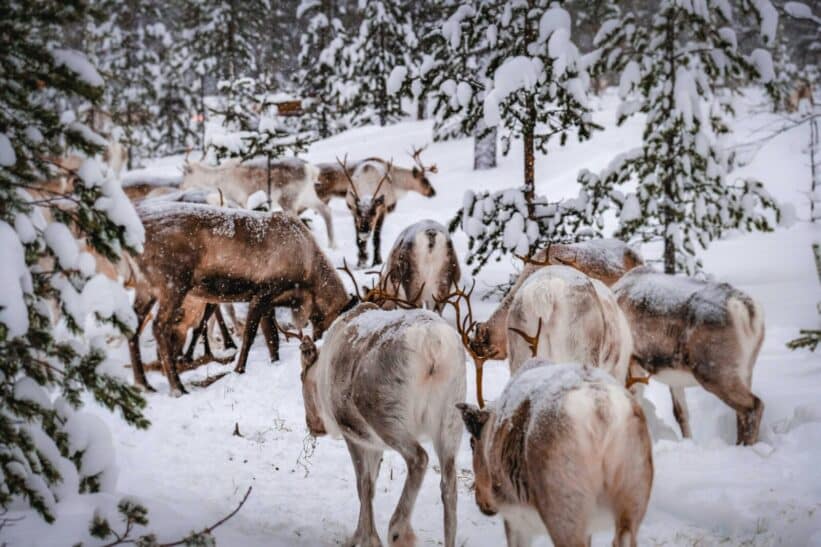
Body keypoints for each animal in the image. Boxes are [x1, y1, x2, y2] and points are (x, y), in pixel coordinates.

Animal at [134, 201, 355, 395]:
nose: (319, 343)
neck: (308, 275)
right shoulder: (263, 293)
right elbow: (250, 336)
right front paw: (239, 369)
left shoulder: (270, 302)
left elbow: (272, 338)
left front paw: (274, 362)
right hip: (173, 284)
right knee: (159, 327)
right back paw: (177, 387)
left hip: (146, 287)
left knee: (134, 325)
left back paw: (144, 384)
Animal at [180, 157, 336, 248]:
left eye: (186, 172)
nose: (181, 186)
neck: (216, 178)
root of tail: (311, 170)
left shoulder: (241, 199)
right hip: (307, 195)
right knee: (326, 210)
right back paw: (332, 245)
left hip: (288, 198)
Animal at [293, 302, 465, 547]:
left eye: (301, 377)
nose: (312, 425)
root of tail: (432, 346)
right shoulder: (374, 443)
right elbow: (372, 484)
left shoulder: (354, 433)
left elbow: (363, 485)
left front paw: (365, 538)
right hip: (452, 415)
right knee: (449, 482)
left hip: (384, 413)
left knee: (419, 458)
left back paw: (398, 530)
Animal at [458, 359, 653, 547]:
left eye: (472, 443)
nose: (481, 502)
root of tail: (600, 406)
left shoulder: (515, 518)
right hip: (633, 495)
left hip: (564, 505)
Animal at [612, 266, 766, 445]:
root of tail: (746, 309)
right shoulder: (671, 377)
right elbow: (680, 413)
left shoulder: (629, 361)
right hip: (746, 369)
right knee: (741, 412)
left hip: (714, 372)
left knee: (753, 406)